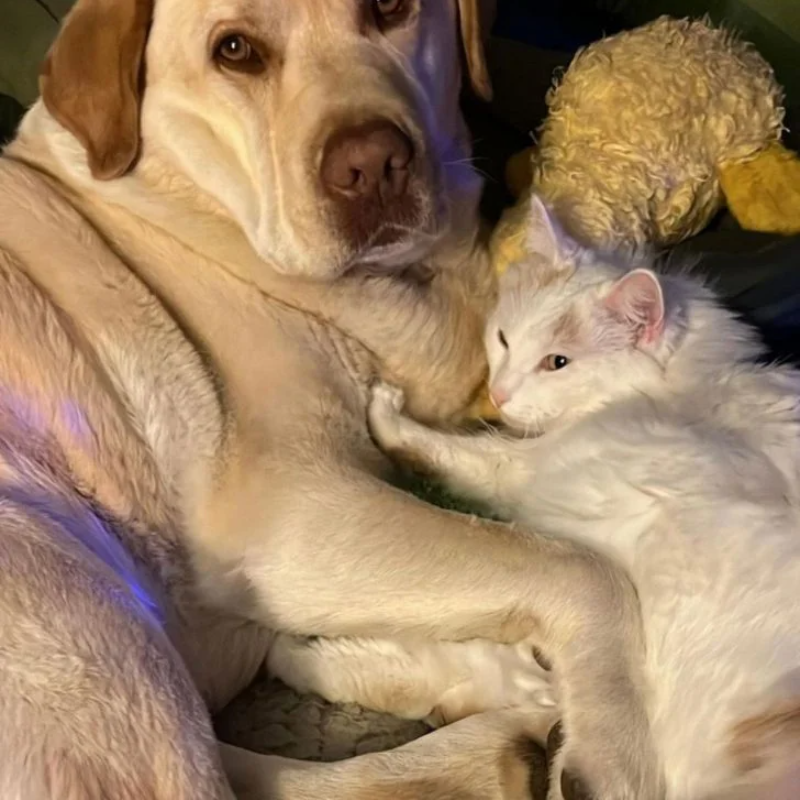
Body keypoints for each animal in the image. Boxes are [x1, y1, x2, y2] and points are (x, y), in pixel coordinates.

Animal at [0, 1, 656, 800]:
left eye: (391, 8)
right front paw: (615, 748)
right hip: (76, 597)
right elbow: (582, 568)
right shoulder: (296, 511)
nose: (371, 163)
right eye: (235, 50)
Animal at [366, 195, 800, 800]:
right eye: (504, 339)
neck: (689, 386)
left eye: (558, 363)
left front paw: (387, 411)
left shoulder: (529, 471)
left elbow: (459, 452)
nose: (498, 393)